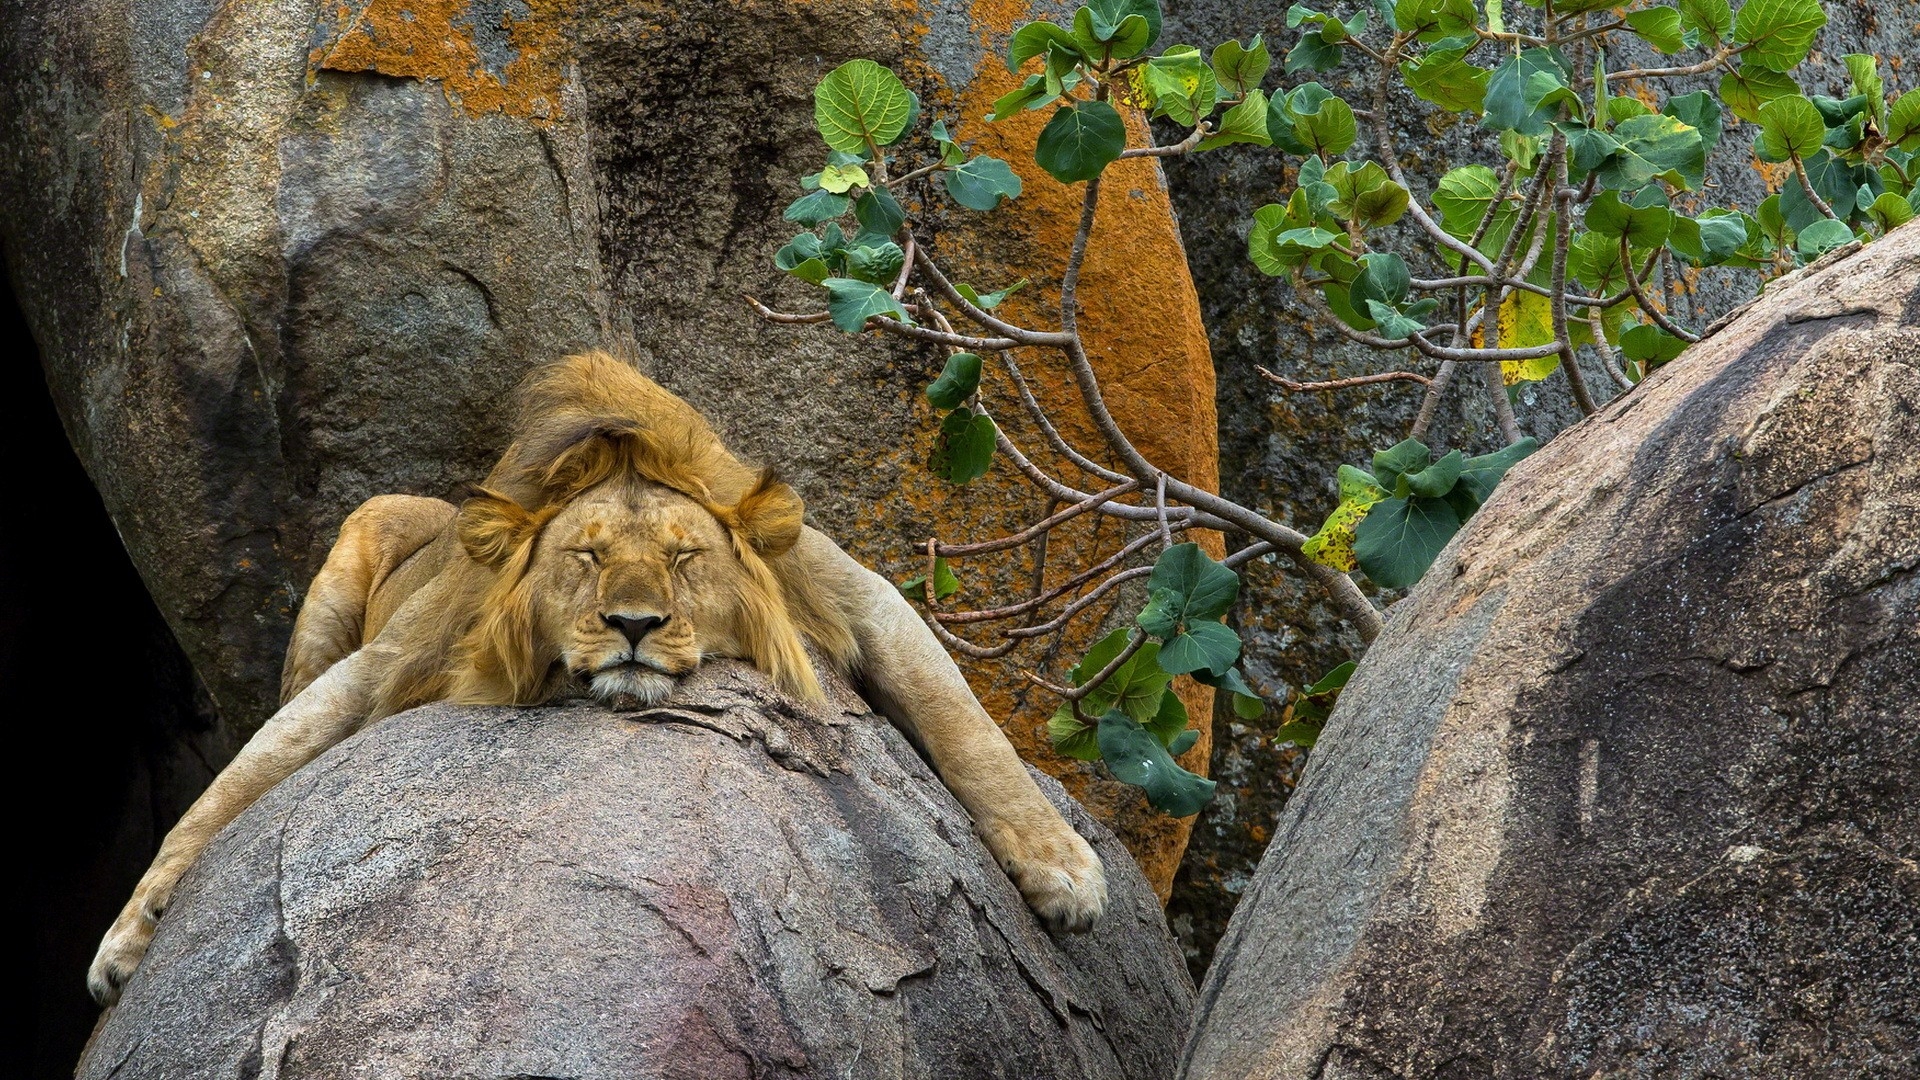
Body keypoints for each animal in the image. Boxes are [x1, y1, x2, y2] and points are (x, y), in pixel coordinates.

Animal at [90, 349, 1113, 1006]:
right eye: (584, 557)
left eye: (685, 558)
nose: (632, 626)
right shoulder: (379, 668)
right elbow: (230, 790)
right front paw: (129, 937)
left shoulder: (857, 596)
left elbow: (967, 724)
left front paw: (1062, 869)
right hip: (354, 542)